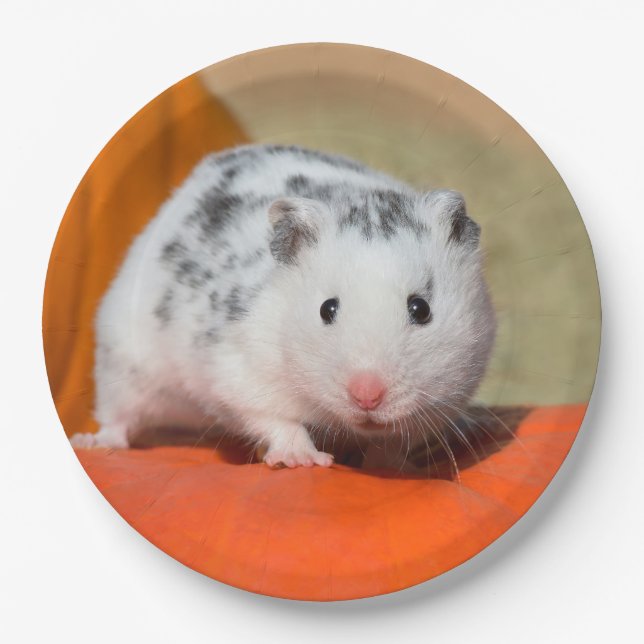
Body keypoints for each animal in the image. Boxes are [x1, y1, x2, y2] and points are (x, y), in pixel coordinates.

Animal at [70, 144, 497, 469]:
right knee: (117, 416)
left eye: (421, 309)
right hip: (123, 362)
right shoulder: (240, 373)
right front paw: (305, 460)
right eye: (327, 309)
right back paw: (92, 442)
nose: (367, 397)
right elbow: (277, 419)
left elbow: (392, 443)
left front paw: (394, 467)